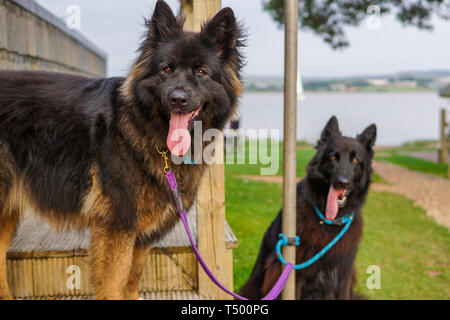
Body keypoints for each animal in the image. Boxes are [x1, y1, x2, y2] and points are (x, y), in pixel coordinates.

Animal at [239, 117, 376, 300]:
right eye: (333, 157)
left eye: (355, 161)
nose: (342, 182)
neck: (327, 222)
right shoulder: (296, 275)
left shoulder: (344, 275)